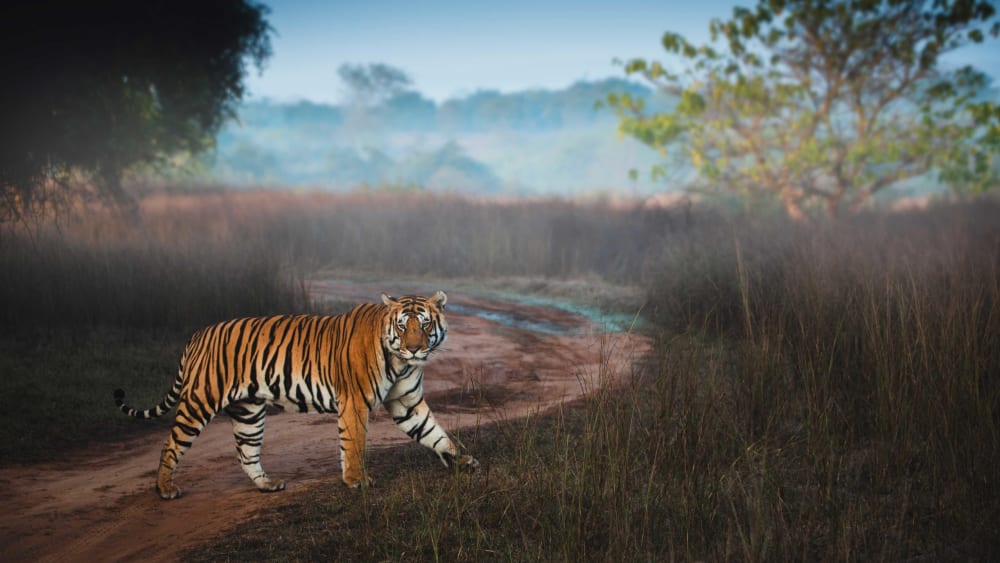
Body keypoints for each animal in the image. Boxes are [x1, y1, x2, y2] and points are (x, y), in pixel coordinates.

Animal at [113, 291, 478, 499]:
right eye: (402, 326)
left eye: (425, 325)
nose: (414, 348)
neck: (401, 363)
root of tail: (198, 334)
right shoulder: (355, 402)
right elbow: (354, 444)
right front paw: (356, 481)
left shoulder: (407, 403)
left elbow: (434, 432)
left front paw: (462, 460)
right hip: (200, 401)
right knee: (170, 445)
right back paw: (164, 489)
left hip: (248, 411)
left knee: (246, 451)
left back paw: (267, 485)